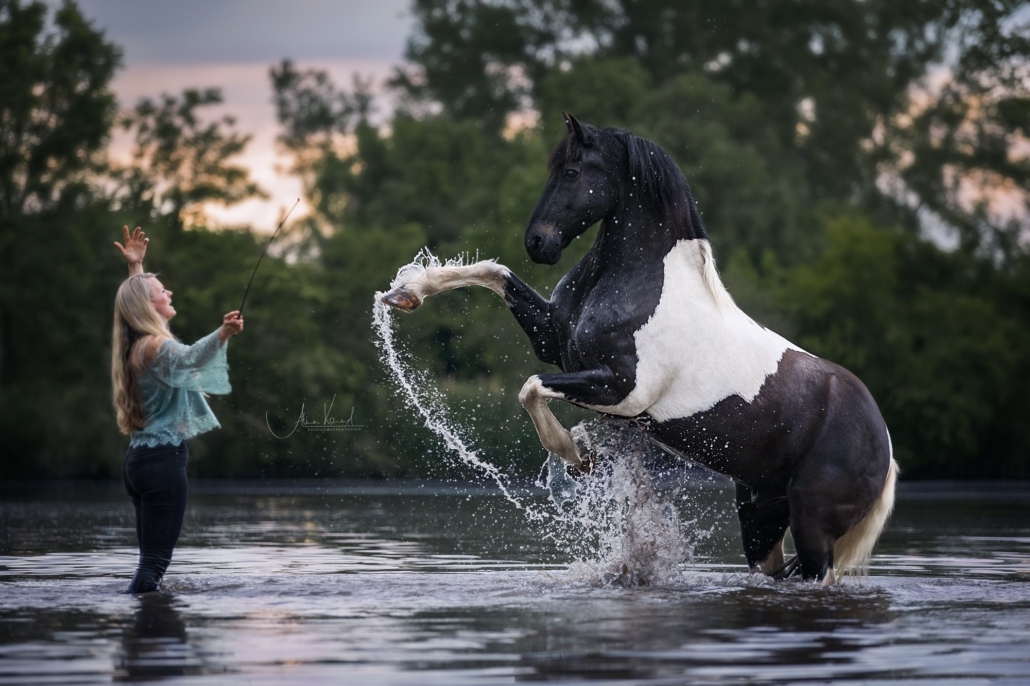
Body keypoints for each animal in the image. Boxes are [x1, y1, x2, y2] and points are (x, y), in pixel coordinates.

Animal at [382, 115, 898, 584]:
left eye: (572, 172)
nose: (538, 243)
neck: (637, 283)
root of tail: (885, 447)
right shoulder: (552, 339)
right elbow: (495, 272)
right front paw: (406, 293)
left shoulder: (624, 391)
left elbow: (531, 387)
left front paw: (578, 455)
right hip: (761, 514)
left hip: (813, 527)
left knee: (815, 574)